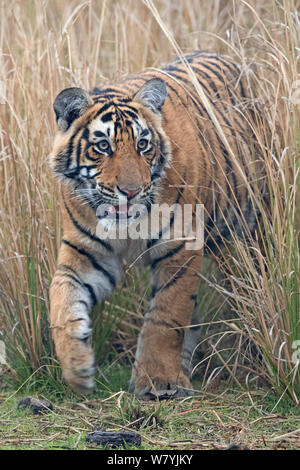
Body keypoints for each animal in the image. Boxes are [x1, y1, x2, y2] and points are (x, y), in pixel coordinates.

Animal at [49, 51, 264, 398]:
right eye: (103, 146)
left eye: (143, 145)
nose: (131, 191)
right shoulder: (86, 255)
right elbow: (62, 301)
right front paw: (77, 366)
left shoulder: (180, 248)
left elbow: (166, 317)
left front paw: (159, 381)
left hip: (251, 224)